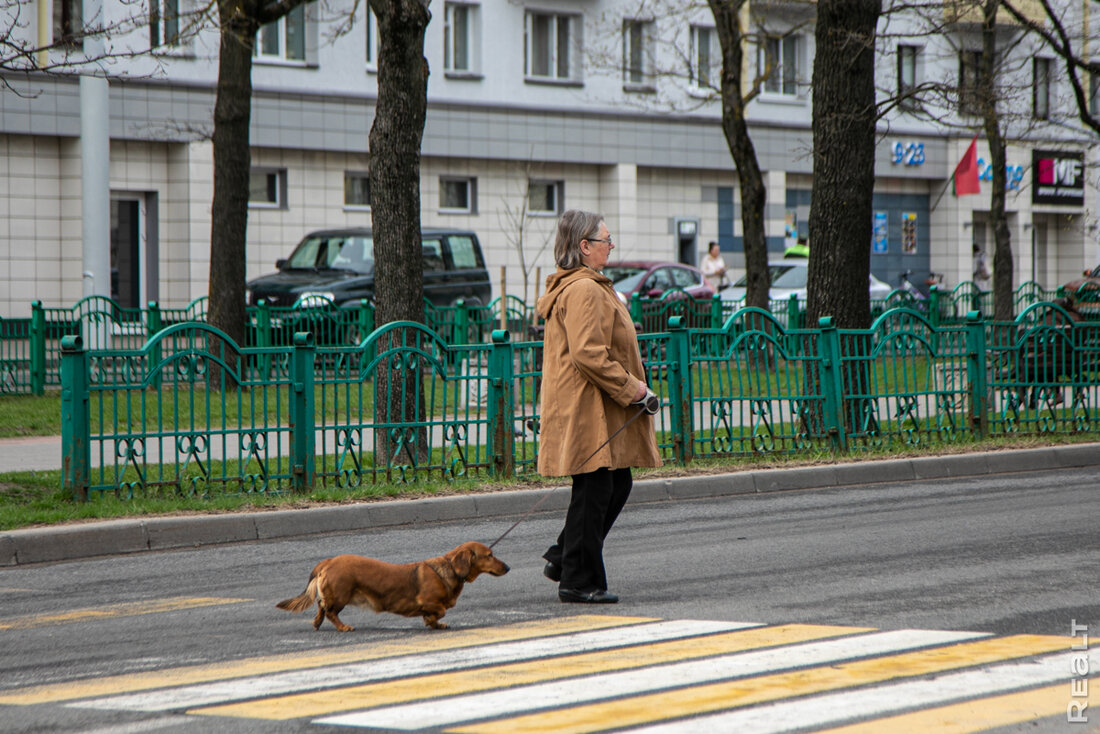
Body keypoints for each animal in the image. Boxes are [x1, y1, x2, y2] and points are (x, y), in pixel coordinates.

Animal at [279, 539, 510, 633]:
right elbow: (439, 611)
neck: (448, 570)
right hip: (341, 595)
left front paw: (436, 624)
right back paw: (343, 627)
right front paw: (431, 620)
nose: (508, 567)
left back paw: (316, 623)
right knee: (329, 611)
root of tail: (328, 561)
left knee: (321, 606)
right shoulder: (428, 601)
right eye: (490, 555)